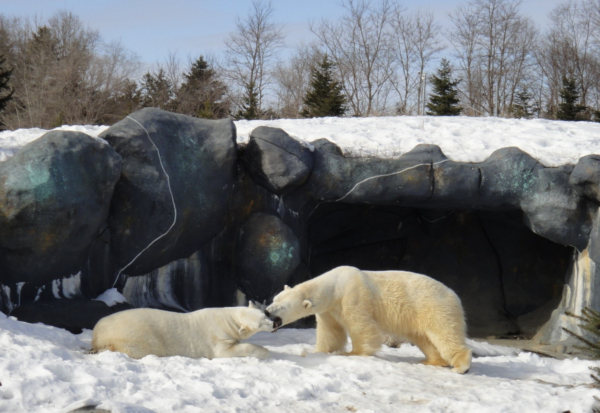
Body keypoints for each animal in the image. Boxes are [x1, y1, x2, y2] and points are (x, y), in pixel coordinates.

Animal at [91, 300, 272, 358]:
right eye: (260, 323)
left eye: (264, 314)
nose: (274, 324)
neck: (226, 320)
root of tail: (97, 332)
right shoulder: (217, 336)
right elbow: (225, 351)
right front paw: (265, 351)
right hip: (132, 336)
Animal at [264, 266, 472, 372]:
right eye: (274, 299)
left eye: (281, 306)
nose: (266, 311)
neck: (335, 285)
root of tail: (455, 295)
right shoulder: (329, 310)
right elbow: (330, 332)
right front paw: (319, 351)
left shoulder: (353, 295)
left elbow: (360, 325)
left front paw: (352, 353)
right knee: (424, 338)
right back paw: (432, 361)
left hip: (434, 307)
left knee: (444, 332)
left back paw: (460, 365)